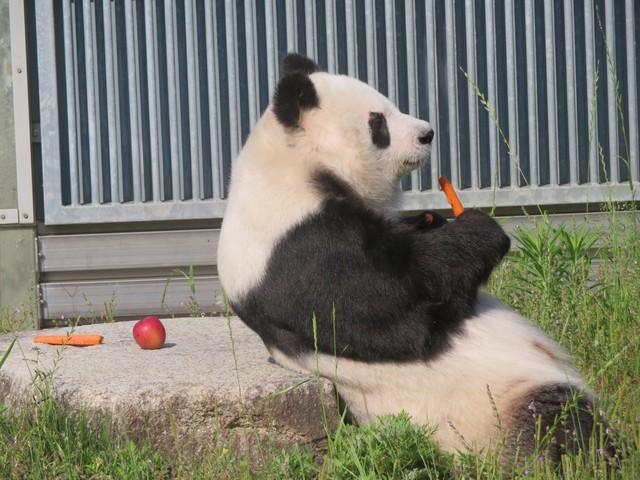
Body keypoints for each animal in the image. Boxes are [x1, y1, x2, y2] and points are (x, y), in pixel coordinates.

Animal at [219, 52, 604, 462]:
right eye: (378, 122)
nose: (427, 133)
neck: (295, 166)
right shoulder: (298, 247)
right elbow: (399, 311)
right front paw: (477, 228)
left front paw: (431, 220)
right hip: (489, 410)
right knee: (557, 421)